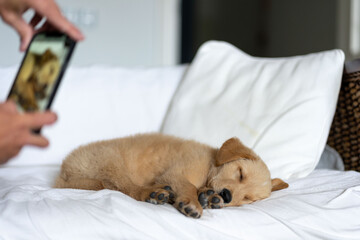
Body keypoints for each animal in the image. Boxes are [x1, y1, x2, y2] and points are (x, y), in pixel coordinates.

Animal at [54, 133, 288, 218]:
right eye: (240, 173)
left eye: (248, 199)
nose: (227, 196)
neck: (211, 163)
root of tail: (63, 172)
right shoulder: (175, 173)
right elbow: (188, 187)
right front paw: (193, 203)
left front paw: (208, 197)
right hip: (111, 161)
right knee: (129, 189)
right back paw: (153, 193)